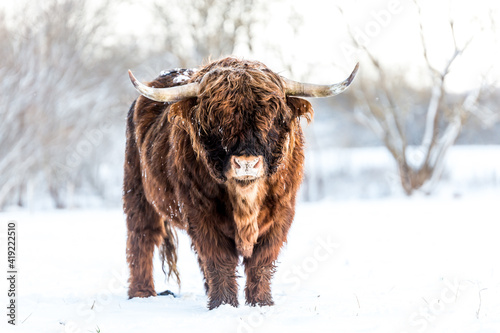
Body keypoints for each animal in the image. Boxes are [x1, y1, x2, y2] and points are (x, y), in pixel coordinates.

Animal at [123, 55, 358, 308]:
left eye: (273, 118)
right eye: (216, 120)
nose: (247, 163)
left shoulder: (282, 213)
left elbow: (261, 261)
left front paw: (261, 303)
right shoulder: (200, 213)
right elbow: (219, 260)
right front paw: (224, 305)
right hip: (136, 189)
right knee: (142, 236)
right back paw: (142, 293)